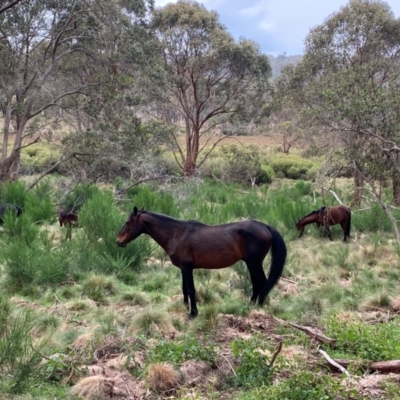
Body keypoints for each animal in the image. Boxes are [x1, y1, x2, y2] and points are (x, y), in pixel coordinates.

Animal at [116, 208, 288, 318]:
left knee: (259, 283)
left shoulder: (187, 268)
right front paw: (186, 307)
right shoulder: (183, 269)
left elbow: (191, 290)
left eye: (127, 222)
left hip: (253, 263)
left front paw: (193, 313)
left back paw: (253, 306)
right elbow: (184, 289)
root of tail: (265, 226)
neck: (177, 233)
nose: (119, 241)